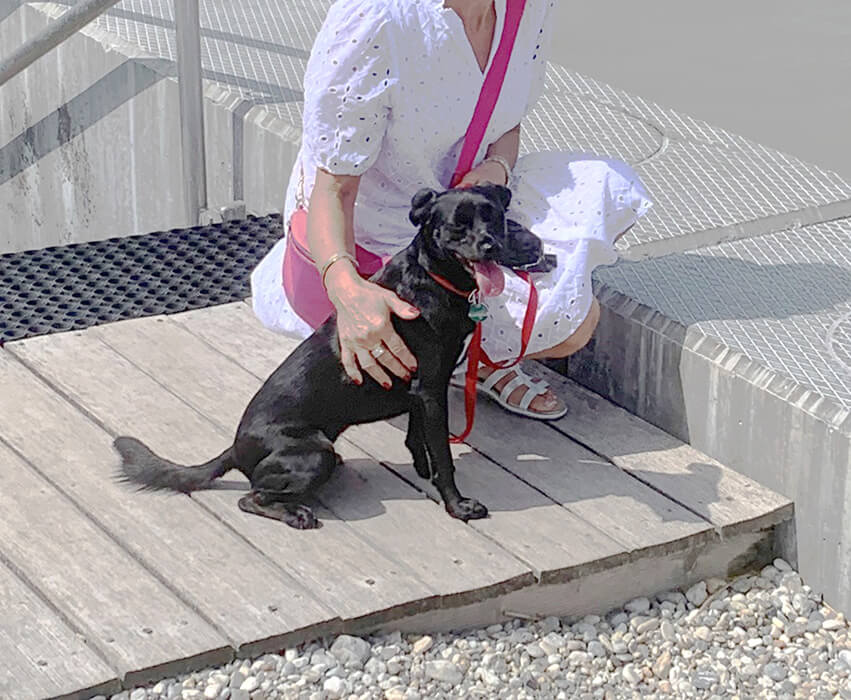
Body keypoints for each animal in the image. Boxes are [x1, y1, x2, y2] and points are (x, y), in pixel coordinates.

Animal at [114, 184, 546, 529]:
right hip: (314, 454)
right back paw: (295, 515)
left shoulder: (422, 390)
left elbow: (417, 436)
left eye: (495, 218)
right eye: (458, 224)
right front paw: (458, 505)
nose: (490, 244)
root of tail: (236, 448)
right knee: (250, 497)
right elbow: (444, 454)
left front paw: (422, 469)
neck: (431, 278)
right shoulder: (431, 389)